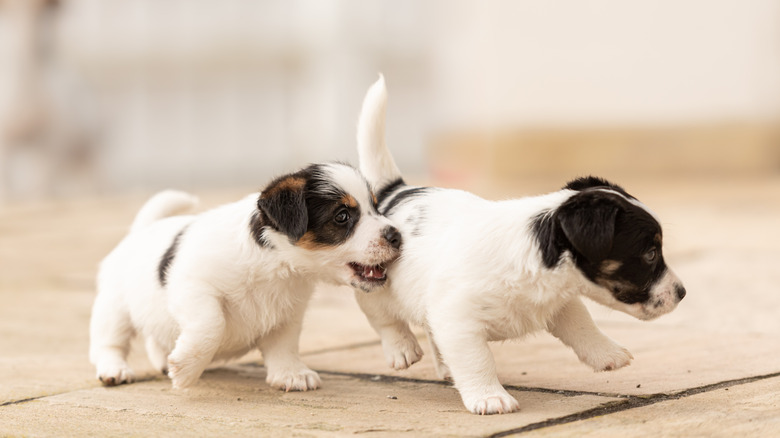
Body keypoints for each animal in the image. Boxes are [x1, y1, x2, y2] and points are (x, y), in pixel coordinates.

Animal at [88, 163, 400, 390]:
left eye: (376, 207)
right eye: (342, 216)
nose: (397, 236)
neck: (276, 264)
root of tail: (140, 231)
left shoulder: (288, 314)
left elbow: (284, 345)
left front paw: (290, 373)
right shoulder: (194, 288)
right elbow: (211, 325)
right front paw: (187, 369)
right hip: (114, 309)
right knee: (109, 342)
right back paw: (114, 369)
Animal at [354, 77, 688, 416]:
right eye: (650, 254)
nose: (682, 293)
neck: (535, 252)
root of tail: (396, 191)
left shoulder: (562, 302)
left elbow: (582, 325)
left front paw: (607, 354)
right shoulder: (459, 319)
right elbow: (477, 359)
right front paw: (489, 397)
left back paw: (445, 366)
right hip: (374, 282)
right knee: (382, 317)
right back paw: (402, 349)